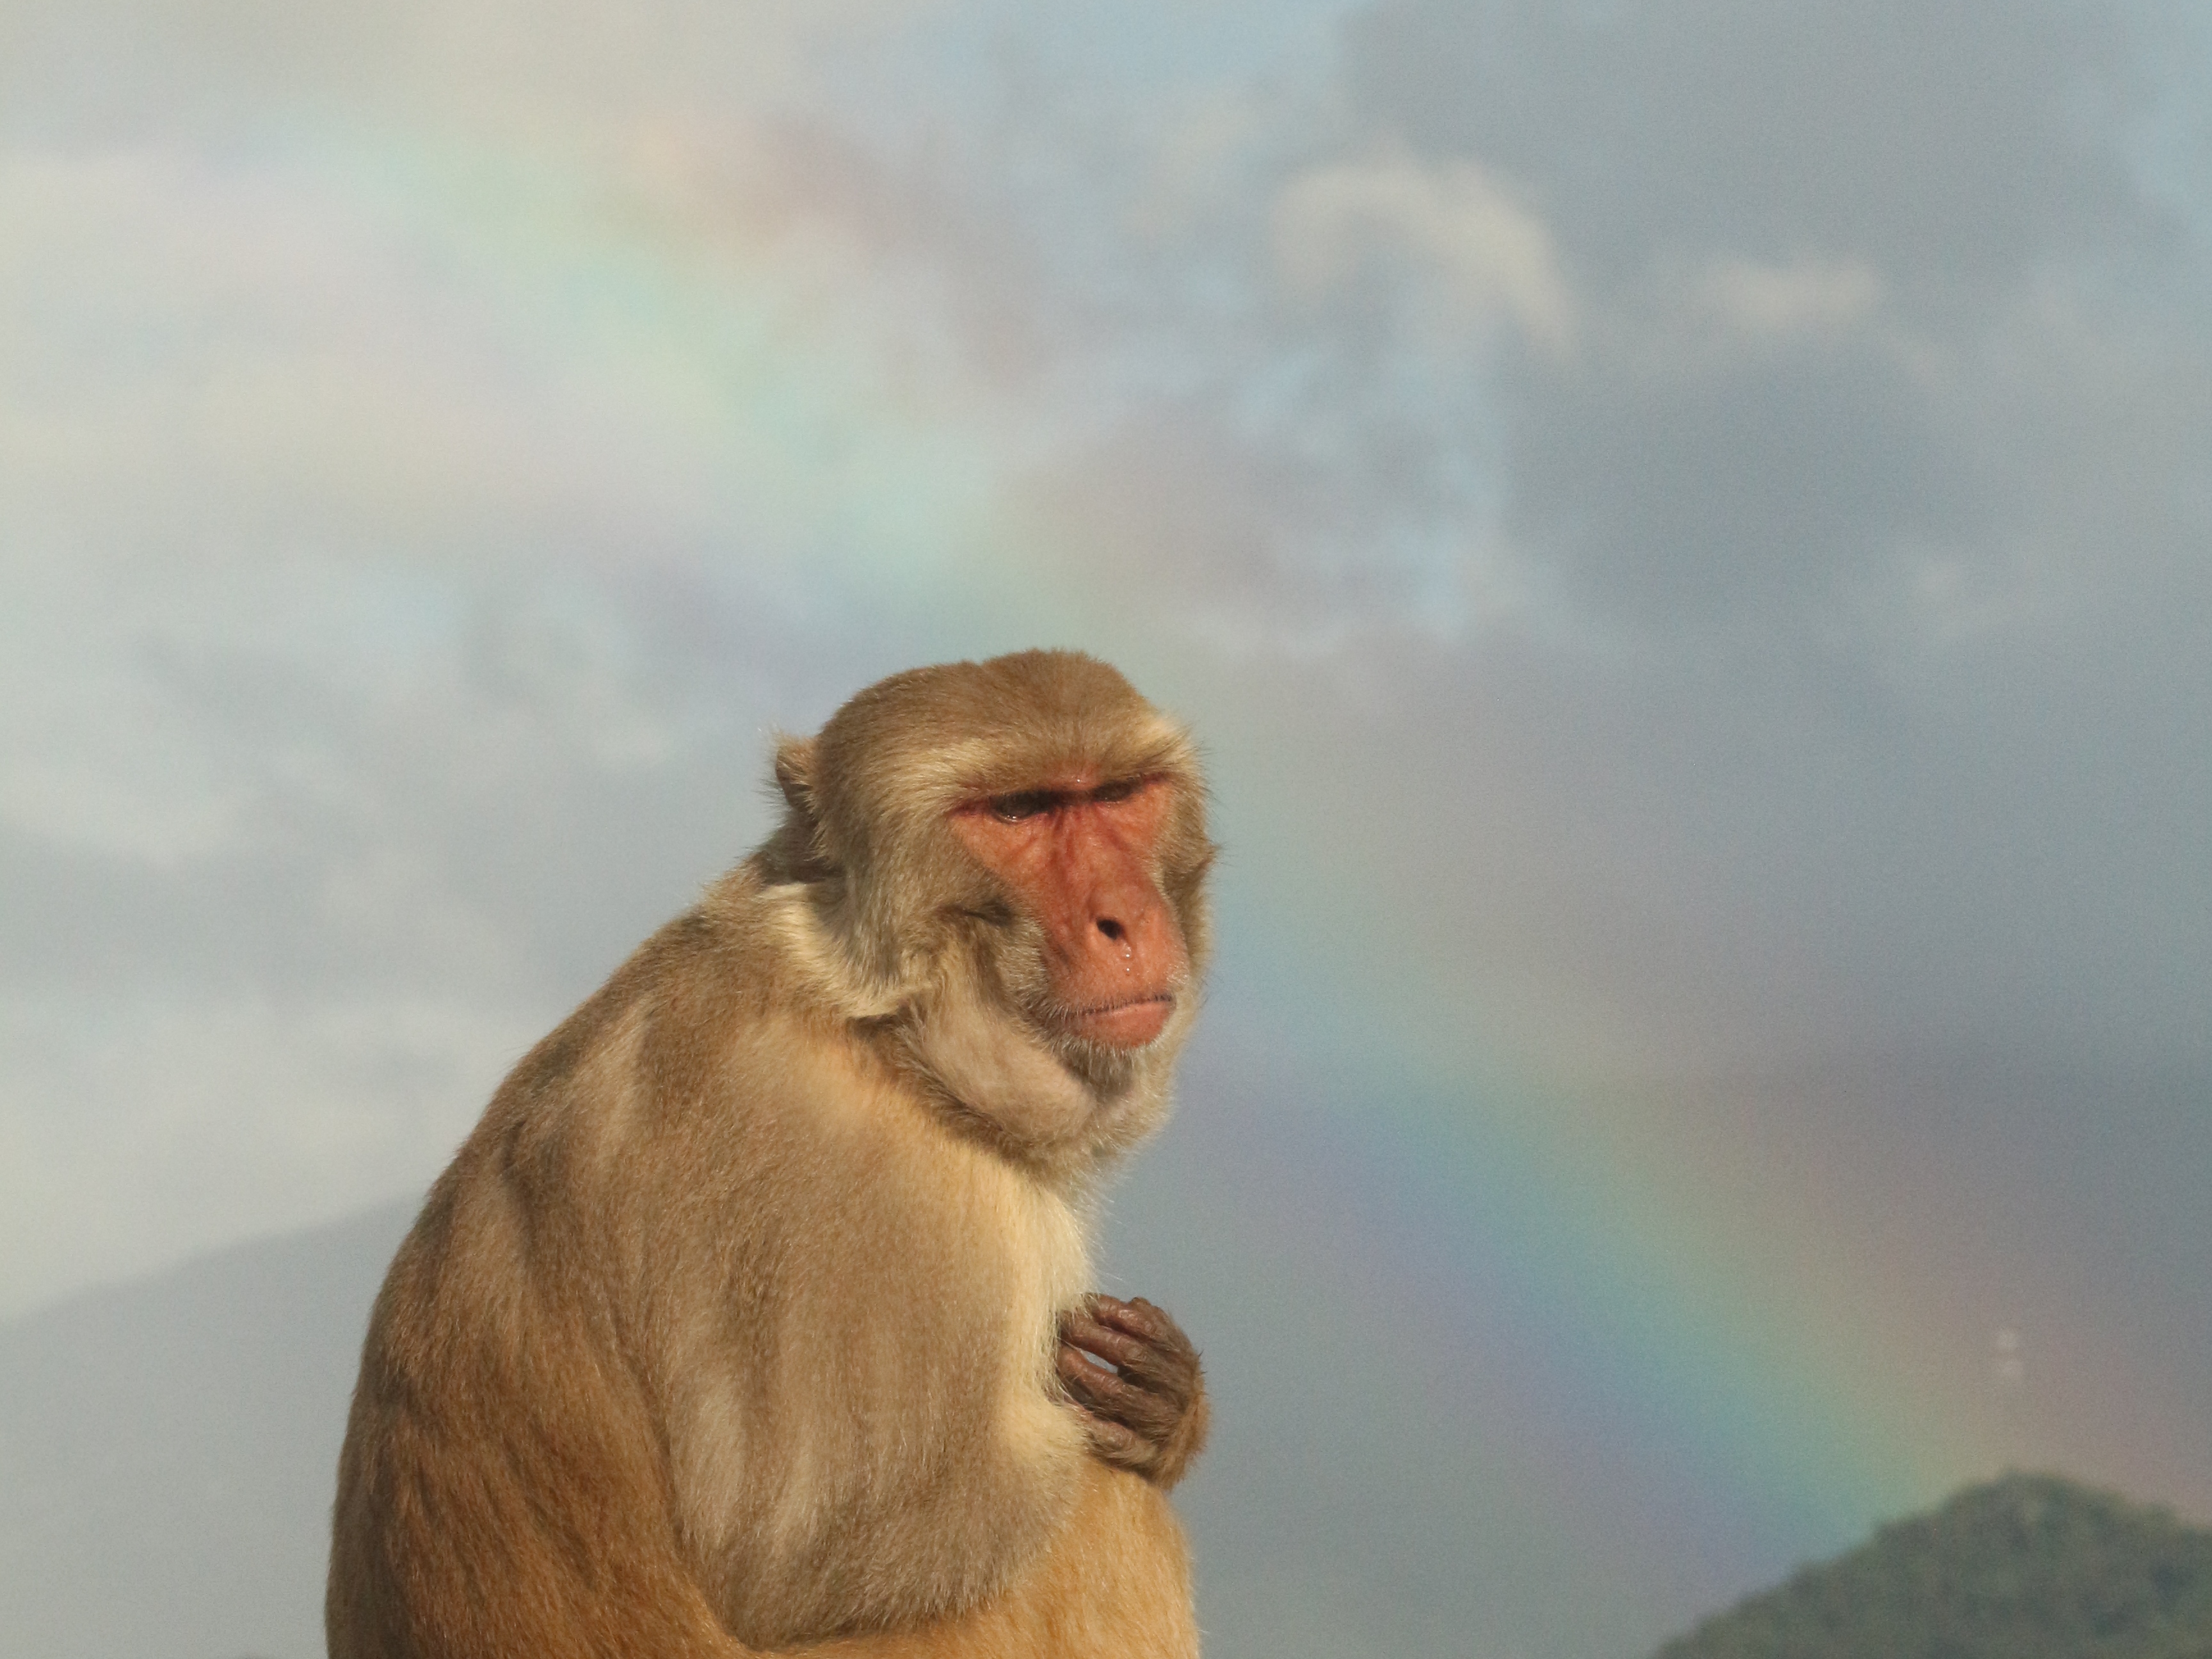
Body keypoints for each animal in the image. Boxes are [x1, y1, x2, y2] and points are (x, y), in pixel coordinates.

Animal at [328, 650, 1216, 1659]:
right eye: (1019, 813)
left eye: (1118, 797)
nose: (1123, 918)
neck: (876, 1027)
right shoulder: (875, 1191)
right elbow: (817, 1562)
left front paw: (1169, 1405)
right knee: (1100, 1510)